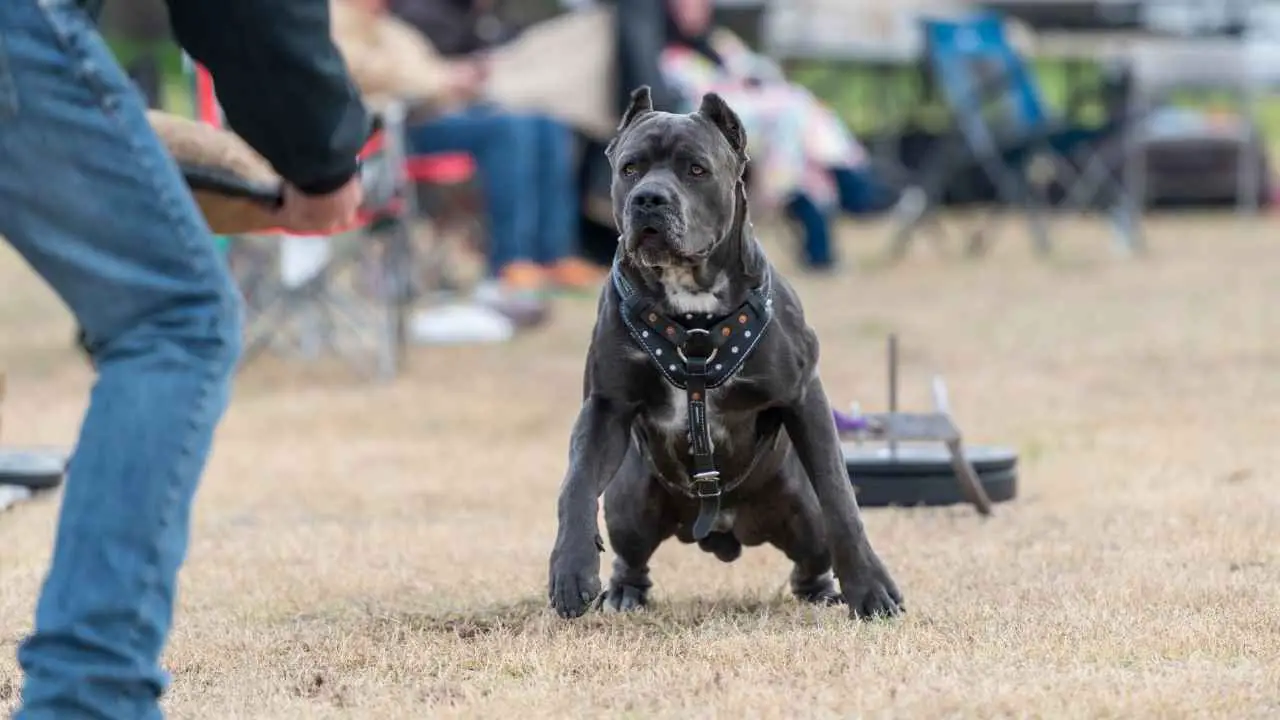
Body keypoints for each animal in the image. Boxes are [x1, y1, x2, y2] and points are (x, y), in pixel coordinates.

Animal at [545, 87, 906, 620]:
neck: (692, 310)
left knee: (811, 556)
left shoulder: (803, 397)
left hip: (802, 514)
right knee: (632, 554)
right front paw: (571, 569)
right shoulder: (605, 407)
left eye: (696, 169)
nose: (648, 198)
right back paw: (623, 592)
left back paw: (824, 591)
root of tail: (723, 529)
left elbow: (840, 496)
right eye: (630, 168)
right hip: (630, 503)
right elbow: (576, 483)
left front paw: (871, 588)